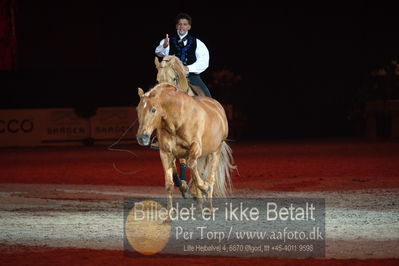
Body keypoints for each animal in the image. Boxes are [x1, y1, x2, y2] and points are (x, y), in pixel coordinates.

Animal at [136, 82, 236, 211]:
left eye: (153, 109)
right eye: (138, 109)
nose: (141, 138)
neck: (177, 121)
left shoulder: (196, 148)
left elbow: (192, 166)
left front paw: (204, 188)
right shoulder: (165, 153)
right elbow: (169, 184)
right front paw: (169, 212)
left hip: (215, 151)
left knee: (210, 178)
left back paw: (209, 206)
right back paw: (199, 201)